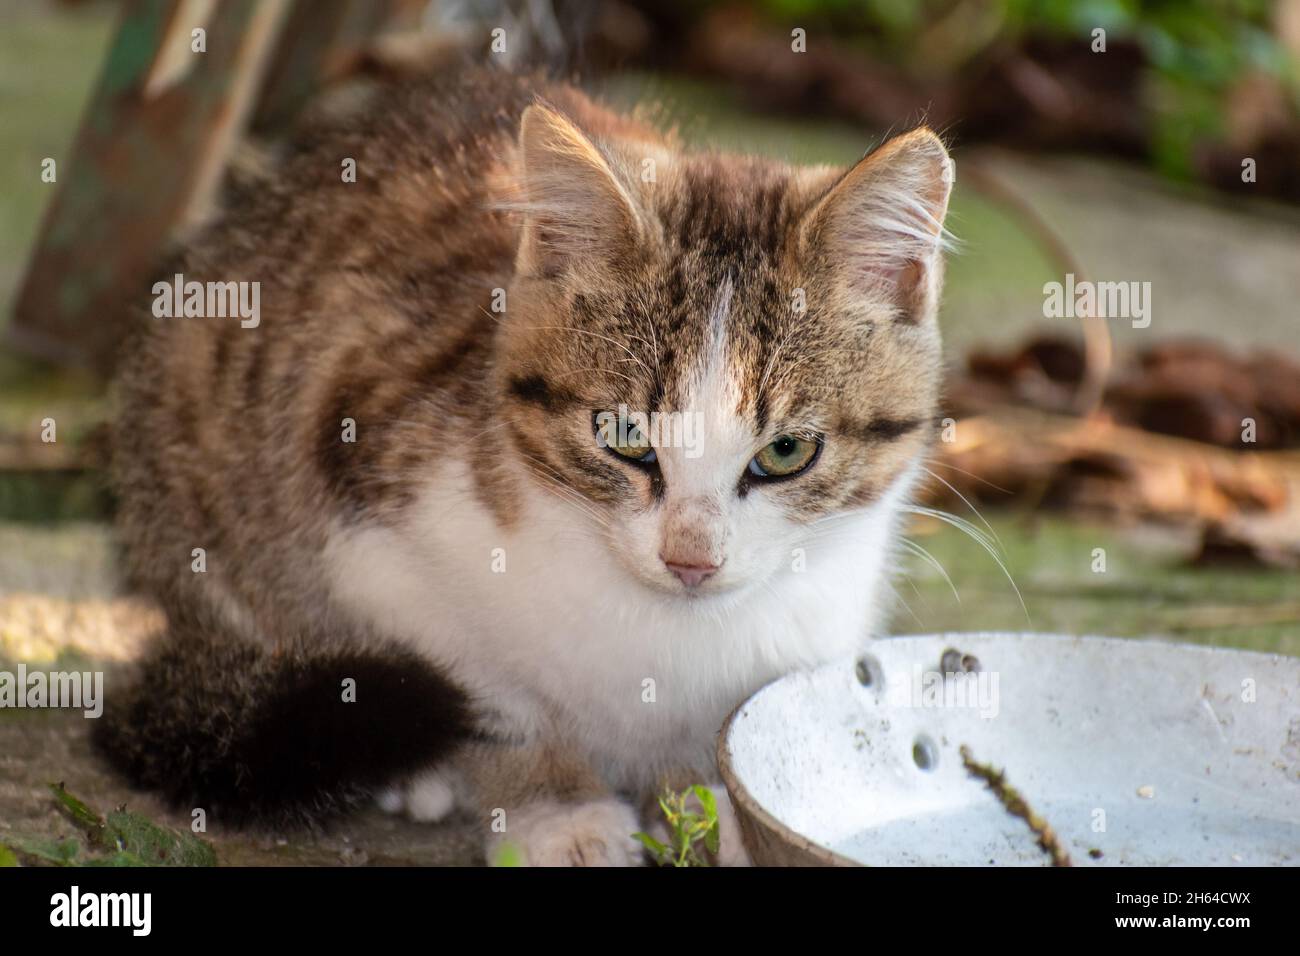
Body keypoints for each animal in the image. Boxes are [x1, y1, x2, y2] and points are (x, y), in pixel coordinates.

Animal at [98, 69, 956, 868]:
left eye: (784, 452)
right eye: (623, 434)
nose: (690, 558)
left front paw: (715, 810)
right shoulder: (374, 535)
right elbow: (493, 699)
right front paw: (559, 812)